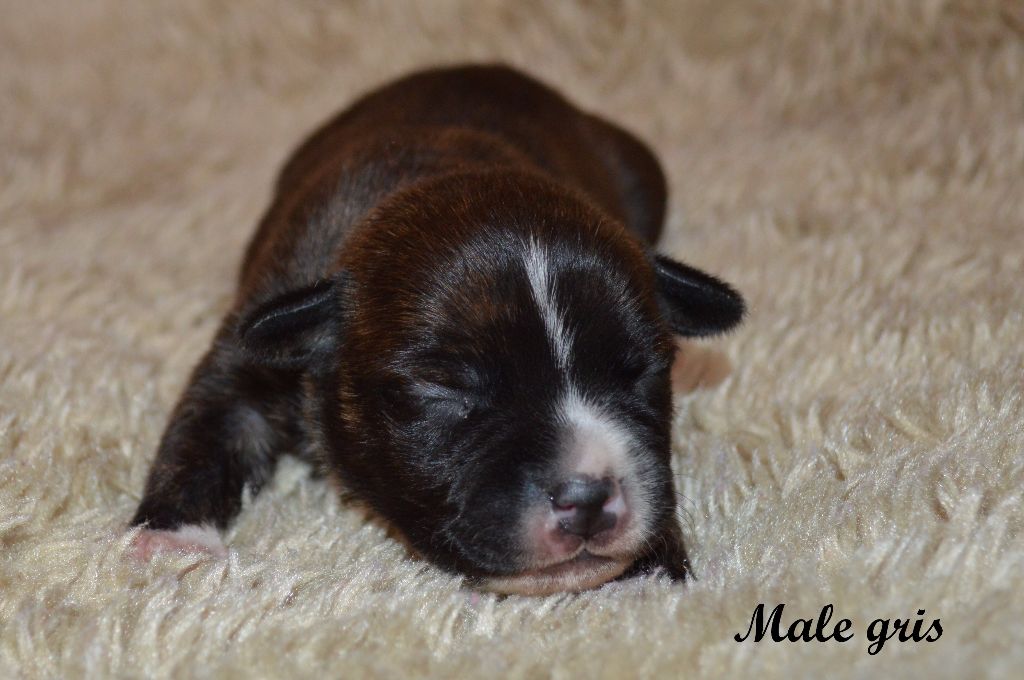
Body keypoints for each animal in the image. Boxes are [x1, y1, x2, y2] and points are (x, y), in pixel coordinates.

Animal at [129, 64, 745, 595]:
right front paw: (172, 543)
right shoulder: (249, 347)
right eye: (442, 388)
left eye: (641, 373)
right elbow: (206, 428)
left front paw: (649, 577)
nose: (588, 497)